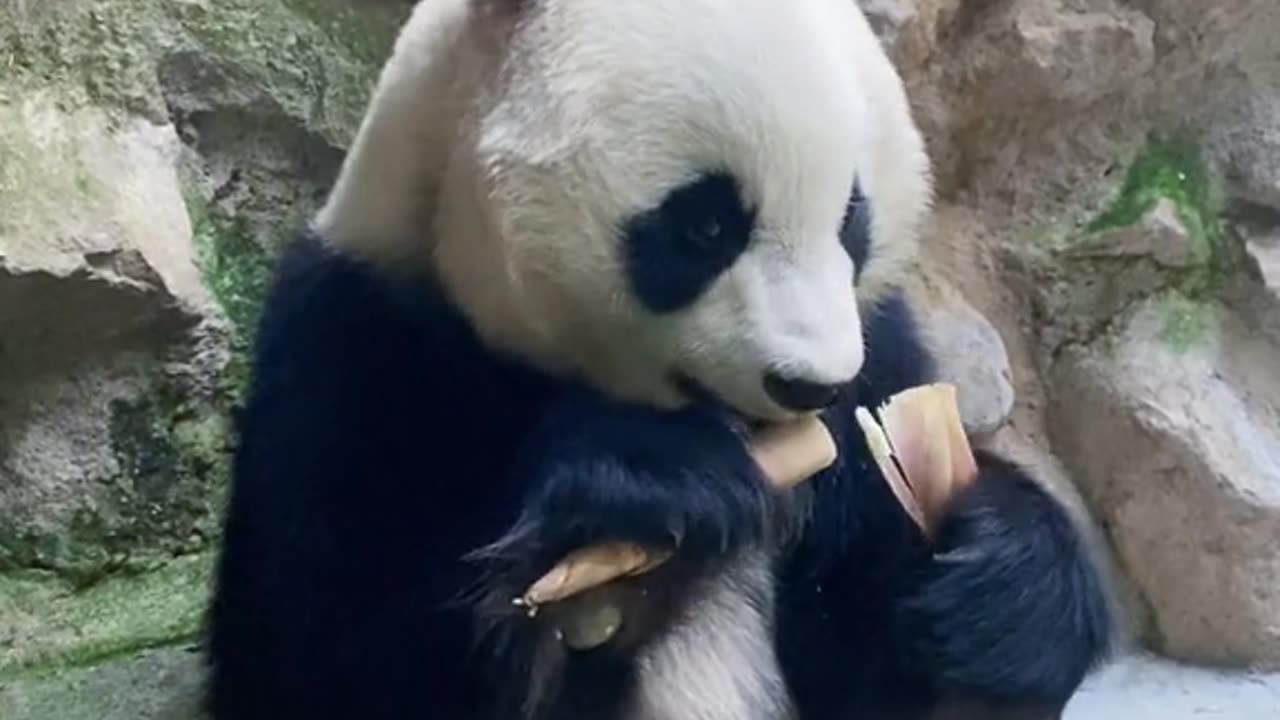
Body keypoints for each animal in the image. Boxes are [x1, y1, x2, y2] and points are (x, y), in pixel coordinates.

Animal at [204, 1, 1116, 717]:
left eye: (850, 218)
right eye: (706, 225)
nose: (805, 384)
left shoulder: (876, 359)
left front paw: (1000, 584)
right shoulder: (354, 347)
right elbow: (322, 662)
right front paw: (648, 491)